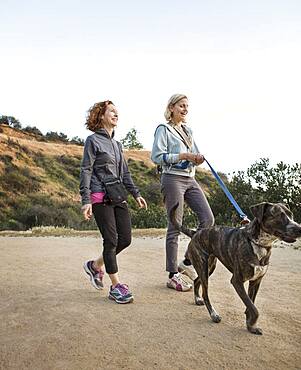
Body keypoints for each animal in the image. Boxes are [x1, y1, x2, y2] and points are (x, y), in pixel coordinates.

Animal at [170, 202, 300, 336]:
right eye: (279, 215)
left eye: (291, 214)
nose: (299, 228)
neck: (258, 243)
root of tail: (196, 233)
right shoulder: (237, 281)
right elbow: (254, 309)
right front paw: (252, 323)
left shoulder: (256, 282)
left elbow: (251, 305)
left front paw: (251, 326)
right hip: (203, 266)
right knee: (205, 293)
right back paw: (213, 315)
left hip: (209, 267)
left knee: (196, 281)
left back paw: (197, 299)